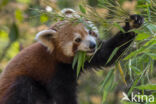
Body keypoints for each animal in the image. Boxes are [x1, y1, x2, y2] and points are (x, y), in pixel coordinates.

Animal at [0, 8, 144, 104]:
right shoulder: (56, 71)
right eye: (77, 40)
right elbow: (63, 95)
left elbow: (106, 54)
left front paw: (133, 23)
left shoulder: (84, 59)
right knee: (24, 86)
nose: (92, 45)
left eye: (90, 32)